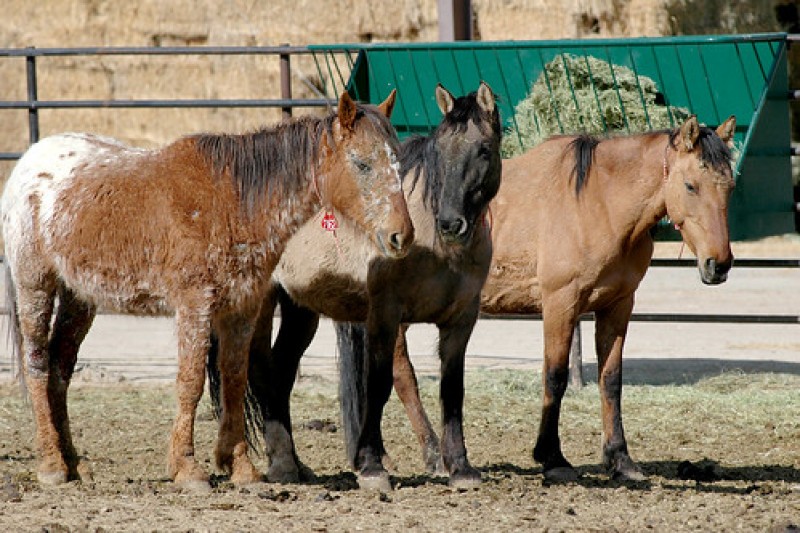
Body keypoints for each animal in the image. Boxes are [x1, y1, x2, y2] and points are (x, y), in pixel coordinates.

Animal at [4, 91, 418, 490]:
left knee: (60, 369)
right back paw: (52, 466)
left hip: (79, 298)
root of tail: (28, 163)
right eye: (362, 164)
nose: (402, 235)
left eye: (398, 163)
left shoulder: (241, 308)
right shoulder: (195, 305)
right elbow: (191, 382)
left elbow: (234, 379)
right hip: (34, 285)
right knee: (38, 364)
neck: (231, 202)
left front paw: (241, 467)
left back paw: (74, 464)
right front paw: (187, 469)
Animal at [206, 81, 504, 488]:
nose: (450, 223)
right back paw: (282, 465)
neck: (435, 246)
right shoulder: (385, 316)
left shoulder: (461, 321)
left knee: (282, 372)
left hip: (301, 310)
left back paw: (297, 465)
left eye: (484, 150)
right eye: (441, 150)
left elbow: (452, 389)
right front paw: (372, 466)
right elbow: (378, 386)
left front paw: (460, 468)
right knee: (261, 370)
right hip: (262, 302)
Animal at [340, 112, 736, 482]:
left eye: (729, 186)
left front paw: (621, 460)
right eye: (690, 185)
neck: (599, 203)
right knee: (401, 375)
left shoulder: (618, 306)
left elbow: (611, 381)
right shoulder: (561, 303)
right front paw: (552, 457)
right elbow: (555, 377)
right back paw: (432, 456)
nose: (719, 265)